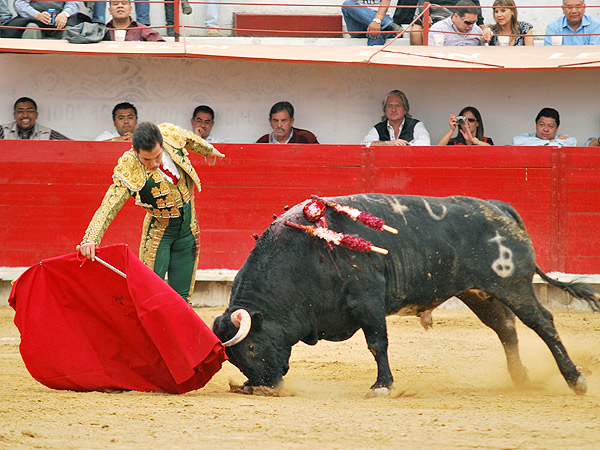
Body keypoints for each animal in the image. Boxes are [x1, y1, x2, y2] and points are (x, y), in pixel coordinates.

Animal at [213, 193, 596, 394]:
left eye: (251, 347)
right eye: (233, 358)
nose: (262, 386)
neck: (306, 256)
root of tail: (498, 207)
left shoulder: (367, 302)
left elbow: (376, 344)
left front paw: (383, 385)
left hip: (513, 284)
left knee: (542, 323)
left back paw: (575, 379)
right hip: (479, 292)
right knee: (506, 329)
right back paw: (520, 379)